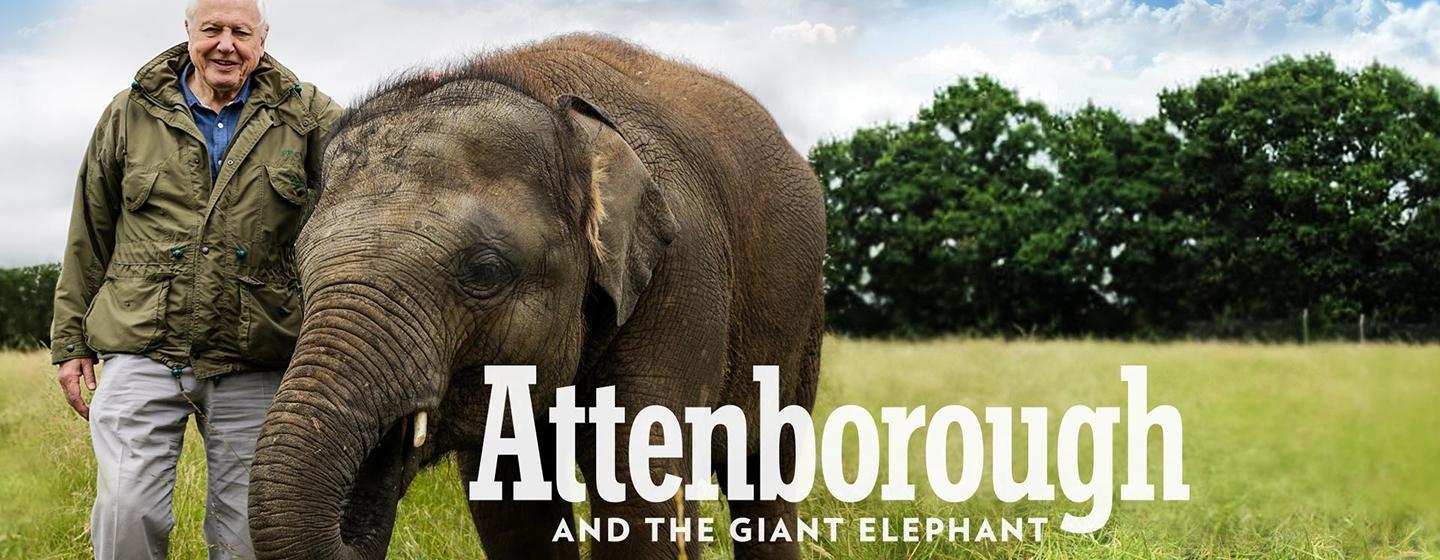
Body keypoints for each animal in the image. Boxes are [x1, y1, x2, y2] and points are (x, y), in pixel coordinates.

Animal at [247, 34, 825, 559]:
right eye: (301, 272)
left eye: (484, 272)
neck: (559, 110)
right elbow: (512, 506)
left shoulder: (685, 271)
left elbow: (640, 487)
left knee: (768, 476)